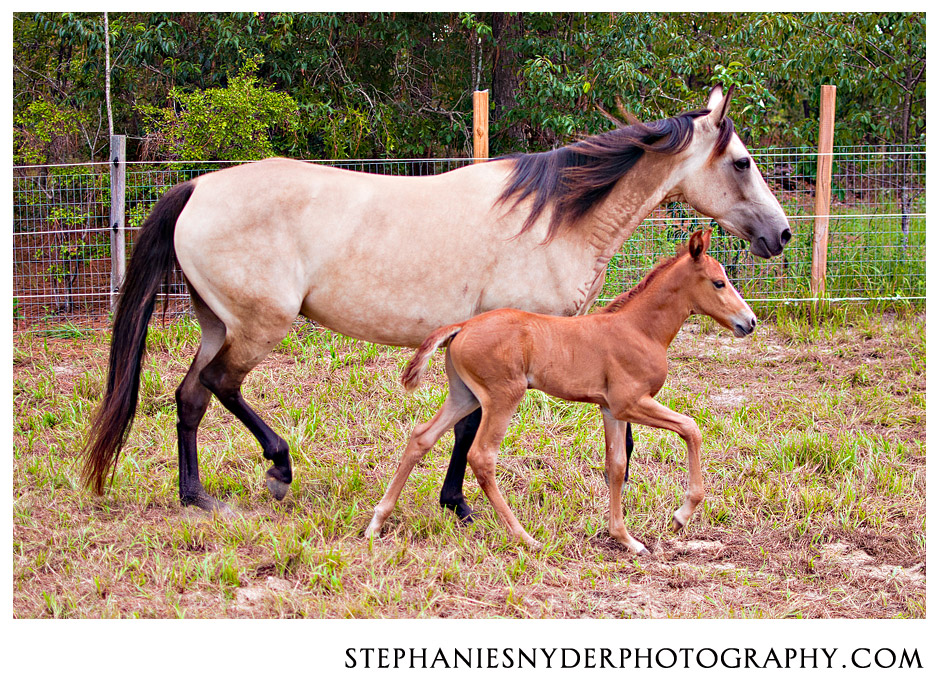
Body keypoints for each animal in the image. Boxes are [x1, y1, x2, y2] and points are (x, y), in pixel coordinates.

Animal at [82, 85, 790, 516]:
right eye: (743, 162)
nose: (780, 234)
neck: (552, 220)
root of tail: (198, 187)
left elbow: (473, 422)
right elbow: (474, 427)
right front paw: (461, 503)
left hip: (217, 323)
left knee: (189, 396)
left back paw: (196, 496)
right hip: (259, 326)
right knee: (219, 387)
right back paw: (274, 470)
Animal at [365, 227, 754, 553]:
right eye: (719, 283)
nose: (748, 322)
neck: (639, 329)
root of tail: (462, 326)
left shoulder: (611, 409)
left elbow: (616, 465)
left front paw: (625, 539)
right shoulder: (630, 403)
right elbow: (691, 428)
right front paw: (681, 516)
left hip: (465, 395)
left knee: (421, 437)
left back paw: (376, 522)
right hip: (503, 395)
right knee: (482, 456)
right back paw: (525, 537)